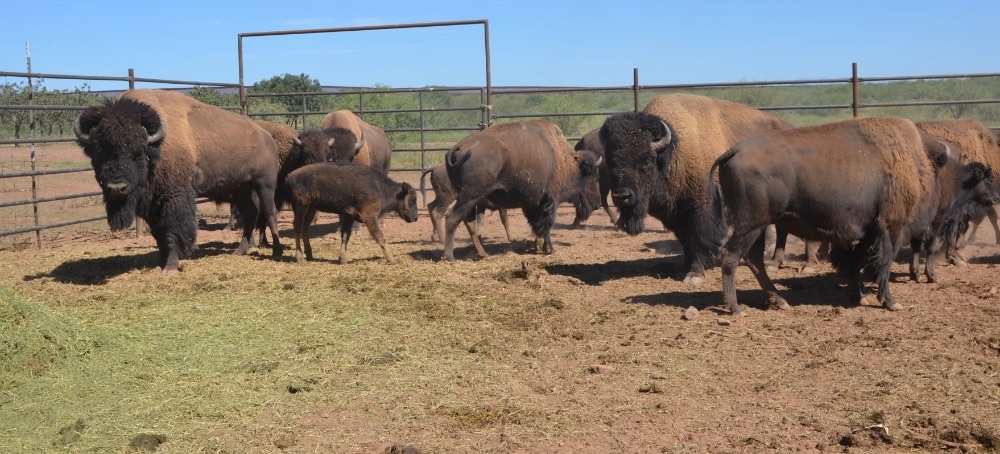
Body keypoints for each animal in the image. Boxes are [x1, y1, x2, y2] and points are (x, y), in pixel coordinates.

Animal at [75, 89, 283, 274]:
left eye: (138, 152)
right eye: (98, 151)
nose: (117, 187)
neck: (156, 147)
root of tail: (267, 137)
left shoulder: (174, 198)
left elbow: (172, 232)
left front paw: (171, 268)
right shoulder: (151, 205)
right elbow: (158, 235)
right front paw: (160, 263)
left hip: (264, 184)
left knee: (269, 212)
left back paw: (277, 252)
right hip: (239, 189)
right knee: (251, 213)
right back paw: (239, 251)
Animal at [600, 94, 792, 284]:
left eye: (646, 161)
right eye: (611, 162)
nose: (622, 196)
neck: (674, 153)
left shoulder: (702, 208)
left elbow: (698, 239)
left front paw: (694, 274)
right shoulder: (677, 215)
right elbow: (686, 242)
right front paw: (684, 270)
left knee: (782, 228)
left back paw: (773, 263)